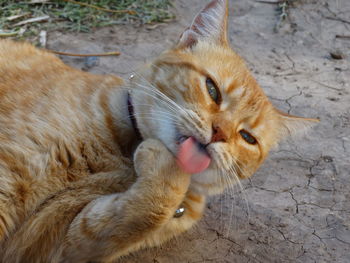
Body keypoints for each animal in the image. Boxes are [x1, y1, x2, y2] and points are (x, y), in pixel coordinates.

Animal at [0, 0, 318, 263]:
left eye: (248, 138)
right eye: (212, 89)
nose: (219, 133)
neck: (124, 157)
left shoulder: (62, 239)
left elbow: (144, 212)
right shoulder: (9, 176)